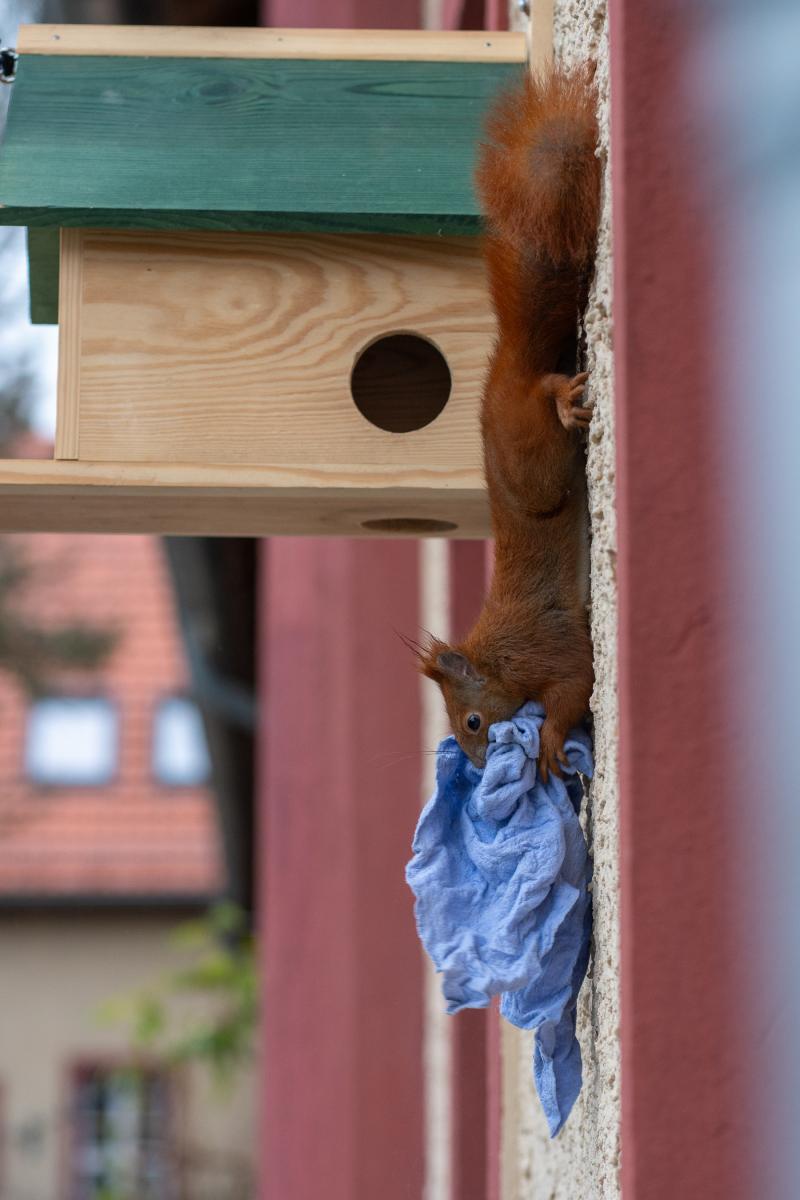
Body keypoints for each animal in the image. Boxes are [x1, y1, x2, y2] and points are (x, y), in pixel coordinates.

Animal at [419, 65, 599, 777]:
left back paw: (563, 399)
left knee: (545, 393)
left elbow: (575, 686)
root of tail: (504, 373)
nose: (472, 763)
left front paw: (548, 743)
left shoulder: (549, 651)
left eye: (472, 721)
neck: (497, 654)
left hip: (537, 462)